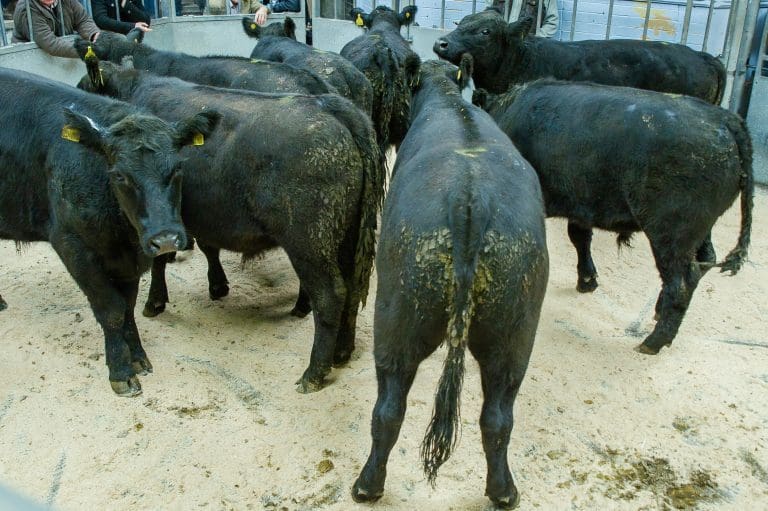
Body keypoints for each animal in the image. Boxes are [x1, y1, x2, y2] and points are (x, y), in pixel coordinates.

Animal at [0, 67, 220, 396]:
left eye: (178, 168)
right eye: (119, 175)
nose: (165, 240)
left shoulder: (131, 257)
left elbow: (127, 306)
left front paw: (138, 356)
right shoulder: (71, 244)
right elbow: (111, 308)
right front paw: (121, 370)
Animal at [77, 57, 385, 393]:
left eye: (83, 86)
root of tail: (330, 105)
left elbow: (161, 257)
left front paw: (155, 302)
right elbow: (206, 247)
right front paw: (217, 285)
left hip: (310, 242)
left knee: (330, 295)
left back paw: (314, 373)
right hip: (348, 236)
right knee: (353, 288)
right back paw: (342, 352)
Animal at [352, 58, 549, 509]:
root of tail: (469, 197)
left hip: (395, 320)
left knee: (388, 408)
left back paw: (367, 484)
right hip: (514, 336)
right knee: (498, 417)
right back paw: (504, 491)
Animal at [473, 80, 753, 355]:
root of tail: (724, 118)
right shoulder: (581, 205)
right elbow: (580, 238)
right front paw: (587, 280)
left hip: (672, 232)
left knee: (683, 280)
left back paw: (654, 341)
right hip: (699, 230)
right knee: (706, 259)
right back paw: (659, 310)